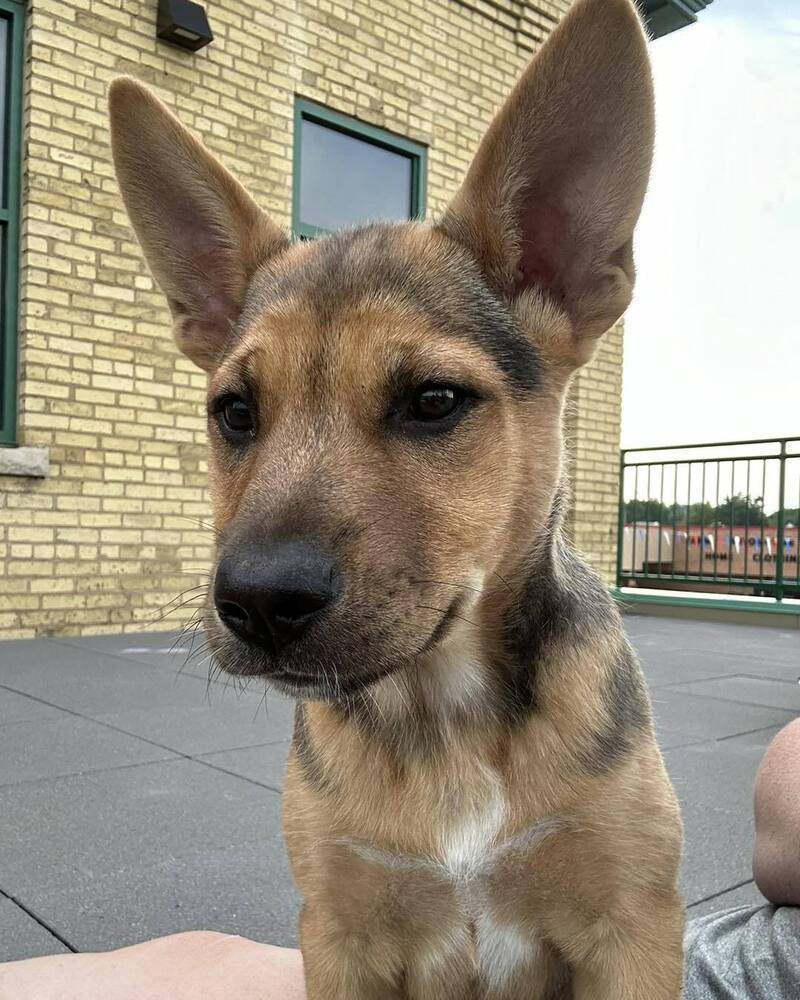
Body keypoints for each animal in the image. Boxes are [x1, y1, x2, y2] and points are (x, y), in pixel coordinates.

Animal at [109, 0, 684, 996]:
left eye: (435, 401)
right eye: (234, 412)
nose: (259, 603)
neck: (440, 712)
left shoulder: (635, 929)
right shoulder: (339, 934)